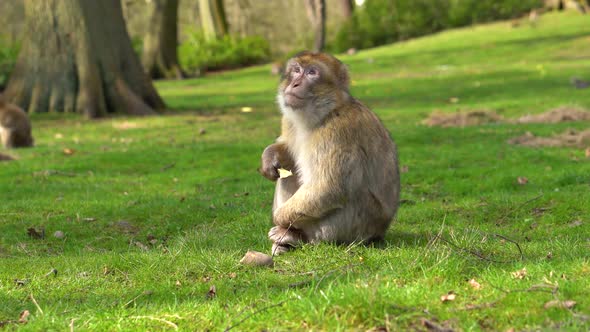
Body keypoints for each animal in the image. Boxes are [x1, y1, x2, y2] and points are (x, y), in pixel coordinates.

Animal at [260, 52, 402, 254]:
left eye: (312, 72)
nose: (294, 84)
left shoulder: (337, 131)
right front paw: (270, 156)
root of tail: (380, 232)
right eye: (296, 70)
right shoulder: (288, 121)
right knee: (287, 172)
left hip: (358, 228)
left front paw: (278, 218)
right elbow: (287, 151)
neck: (325, 112)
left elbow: (329, 187)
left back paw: (297, 236)